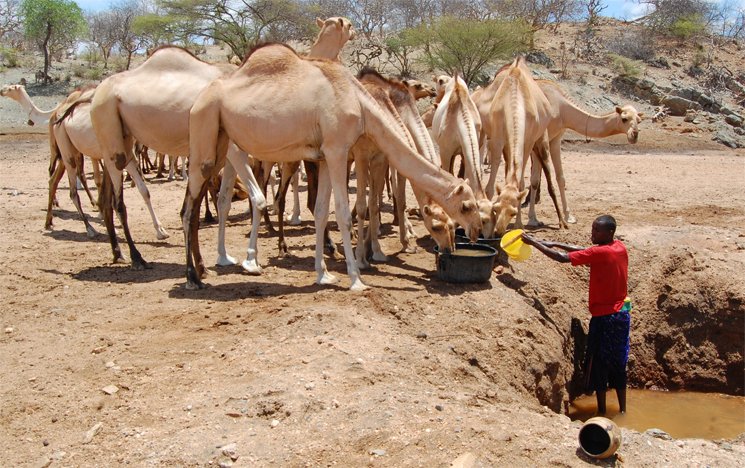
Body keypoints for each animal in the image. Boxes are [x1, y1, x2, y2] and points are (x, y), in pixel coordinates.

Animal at [46, 86, 170, 240]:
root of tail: (57, 115)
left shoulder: (128, 158)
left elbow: (144, 191)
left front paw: (160, 230)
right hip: (67, 152)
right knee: (73, 192)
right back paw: (90, 229)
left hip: (69, 154)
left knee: (53, 180)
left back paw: (49, 222)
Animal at [89, 45, 266, 269]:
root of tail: (96, 94)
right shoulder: (234, 149)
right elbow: (257, 197)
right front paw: (251, 261)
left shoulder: (227, 155)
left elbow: (224, 202)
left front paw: (224, 257)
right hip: (107, 123)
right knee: (118, 203)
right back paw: (137, 257)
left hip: (118, 142)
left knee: (106, 199)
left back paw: (118, 253)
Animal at [183, 43, 481, 291]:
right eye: (466, 207)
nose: (472, 235)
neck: (362, 104)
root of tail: (199, 98)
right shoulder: (340, 150)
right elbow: (344, 213)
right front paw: (356, 277)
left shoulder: (326, 156)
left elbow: (320, 212)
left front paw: (324, 274)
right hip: (206, 135)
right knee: (189, 208)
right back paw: (195, 277)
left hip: (223, 145)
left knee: (206, 200)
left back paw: (214, 264)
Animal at [431, 74, 499, 238]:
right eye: (484, 220)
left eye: (495, 217)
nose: (489, 237)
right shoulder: (445, 151)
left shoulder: (470, 147)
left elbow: (464, 176)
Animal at [484, 57, 565, 235]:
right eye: (496, 208)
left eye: (513, 212)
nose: (499, 230)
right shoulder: (497, 139)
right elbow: (490, 186)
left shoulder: (527, 142)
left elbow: (521, 183)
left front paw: (519, 224)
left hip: (540, 140)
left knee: (541, 179)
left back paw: (553, 220)